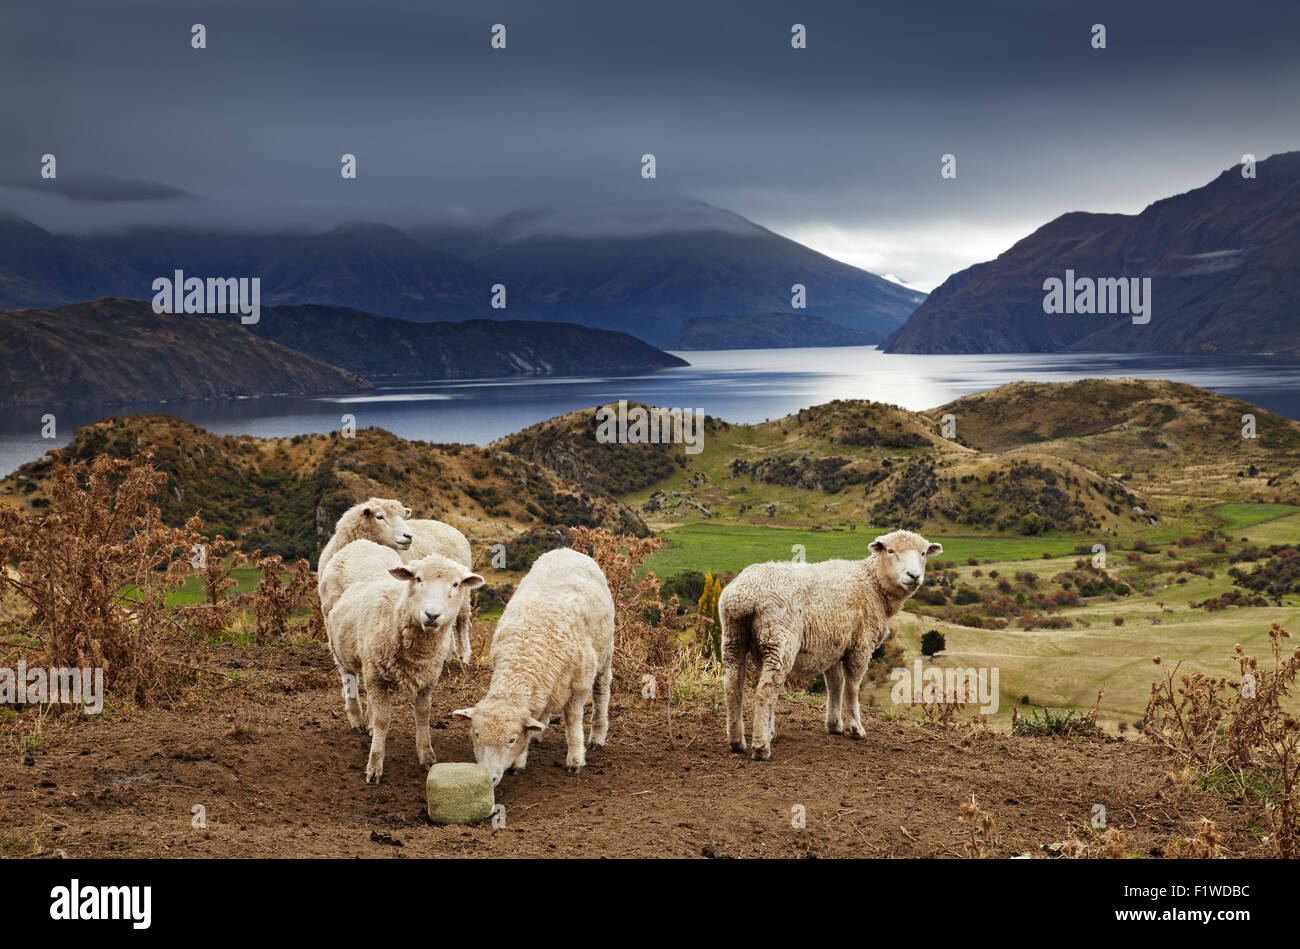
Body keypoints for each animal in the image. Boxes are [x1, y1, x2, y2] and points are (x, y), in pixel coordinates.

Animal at [327, 551, 486, 780]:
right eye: (418, 579)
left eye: (456, 584)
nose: (432, 615)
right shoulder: (377, 677)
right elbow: (383, 720)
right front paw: (375, 764)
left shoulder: (426, 681)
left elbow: (423, 715)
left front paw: (426, 755)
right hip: (342, 654)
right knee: (351, 684)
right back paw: (357, 719)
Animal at [452, 546, 613, 785]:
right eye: (477, 735)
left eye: (511, 740)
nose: (489, 778)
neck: (522, 659)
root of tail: (566, 550)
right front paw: (521, 758)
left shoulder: (579, 684)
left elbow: (573, 722)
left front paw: (575, 759)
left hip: (605, 651)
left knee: (601, 692)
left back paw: (597, 737)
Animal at [717, 527, 941, 759]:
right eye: (890, 550)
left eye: (923, 553)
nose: (914, 576)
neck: (872, 584)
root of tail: (744, 596)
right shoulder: (861, 644)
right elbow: (852, 686)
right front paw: (855, 728)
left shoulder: (833, 645)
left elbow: (835, 684)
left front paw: (834, 724)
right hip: (779, 640)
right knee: (766, 691)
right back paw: (761, 747)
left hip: (735, 637)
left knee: (733, 686)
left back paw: (738, 742)